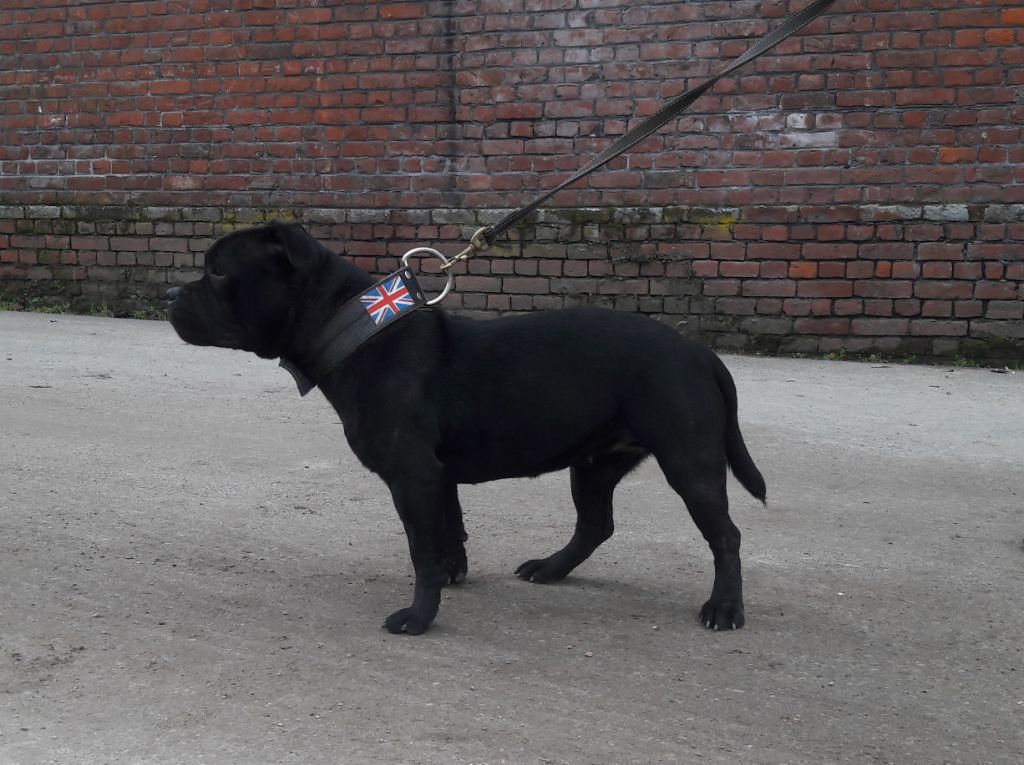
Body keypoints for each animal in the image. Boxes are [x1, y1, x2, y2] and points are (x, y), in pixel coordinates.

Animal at [167, 221, 766, 635]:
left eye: (218, 271)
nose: (171, 295)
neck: (357, 329)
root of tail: (697, 351)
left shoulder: (412, 476)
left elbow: (420, 547)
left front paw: (418, 616)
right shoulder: (438, 477)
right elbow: (447, 533)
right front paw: (451, 576)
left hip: (689, 461)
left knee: (726, 535)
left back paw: (725, 607)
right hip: (594, 461)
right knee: (595, 523)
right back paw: (551, 568)